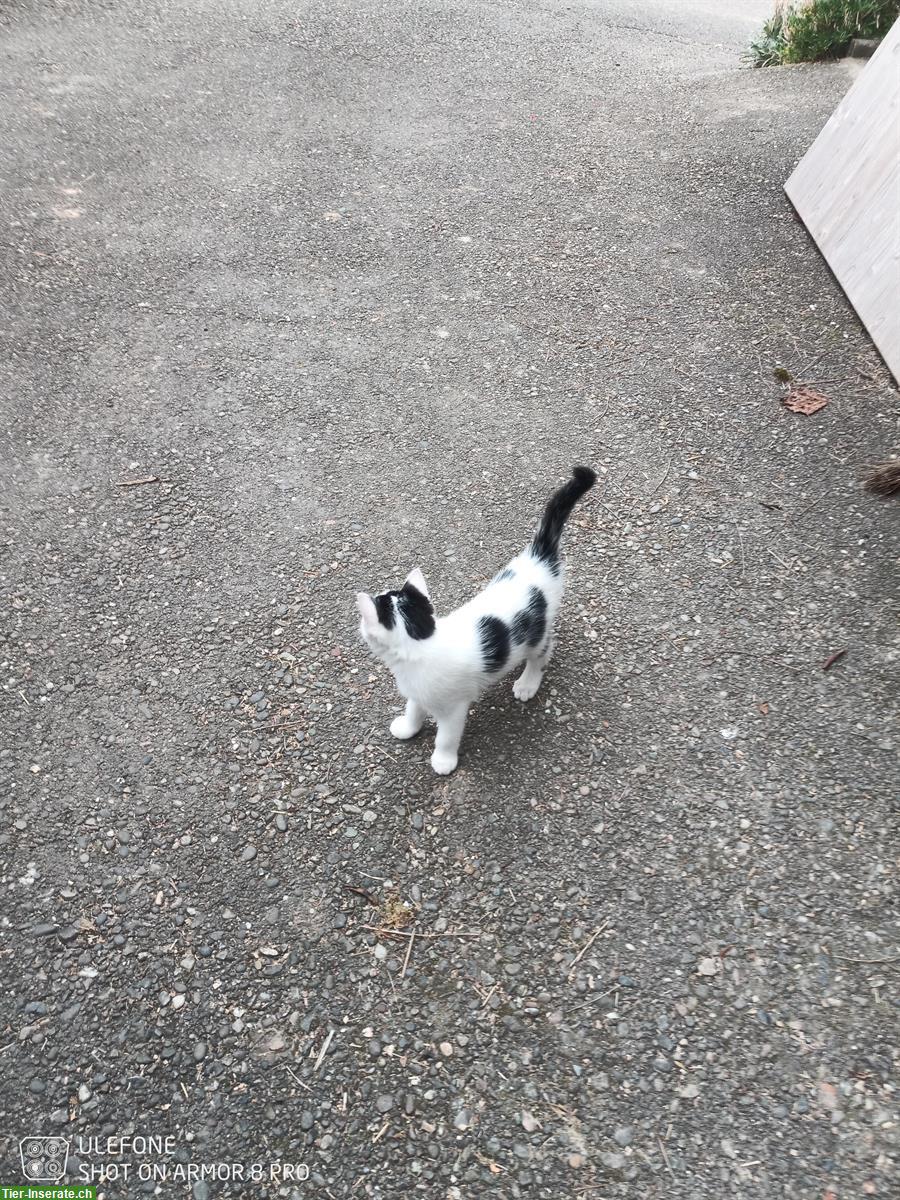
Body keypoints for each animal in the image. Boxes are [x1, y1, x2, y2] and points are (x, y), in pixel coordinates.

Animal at [357, 463, 600, 772]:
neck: (422, 643)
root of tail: (537, 562)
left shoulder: (454, 707)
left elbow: (447, 736)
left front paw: (443, 760)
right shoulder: (418, 691)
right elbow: (414, 708)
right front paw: (408, 727)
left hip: (537, 632)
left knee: (542, 653)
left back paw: (527, 683)